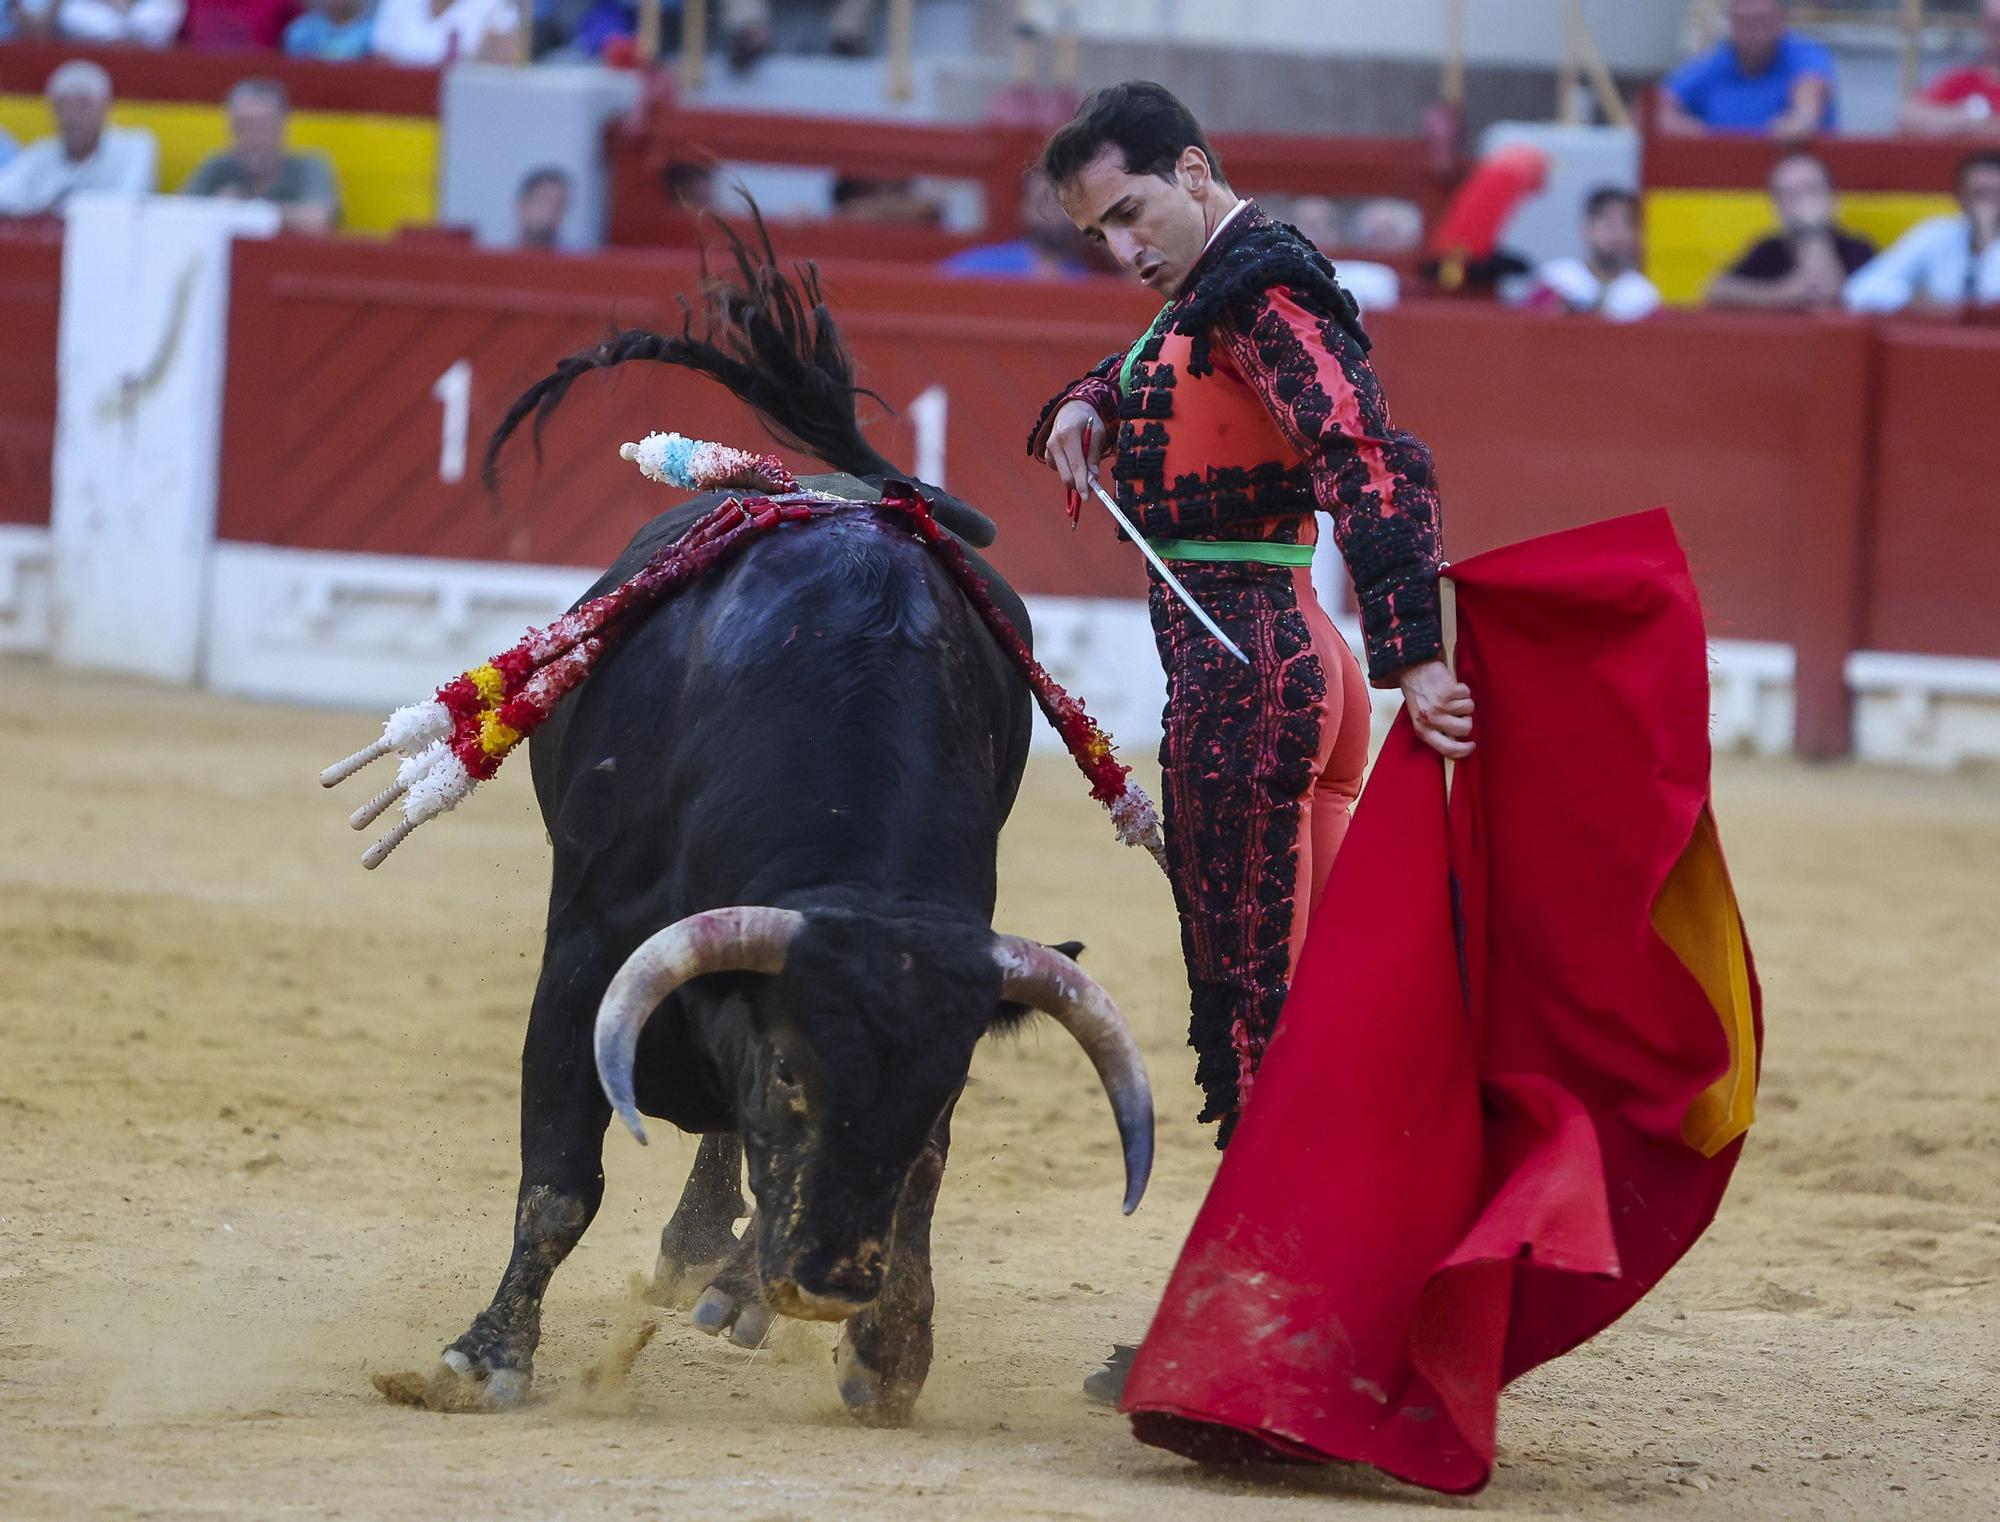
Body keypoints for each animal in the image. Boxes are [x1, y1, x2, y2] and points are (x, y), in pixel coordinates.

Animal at [436, 478, 1160, 1424]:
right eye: (789, 1069)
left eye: (944, 1089)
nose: (826, 1287)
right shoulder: (586, 959)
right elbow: (560, 1181)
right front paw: (488, 1357)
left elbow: (914, 1175)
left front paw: (888, 1352)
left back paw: (729, 1278)